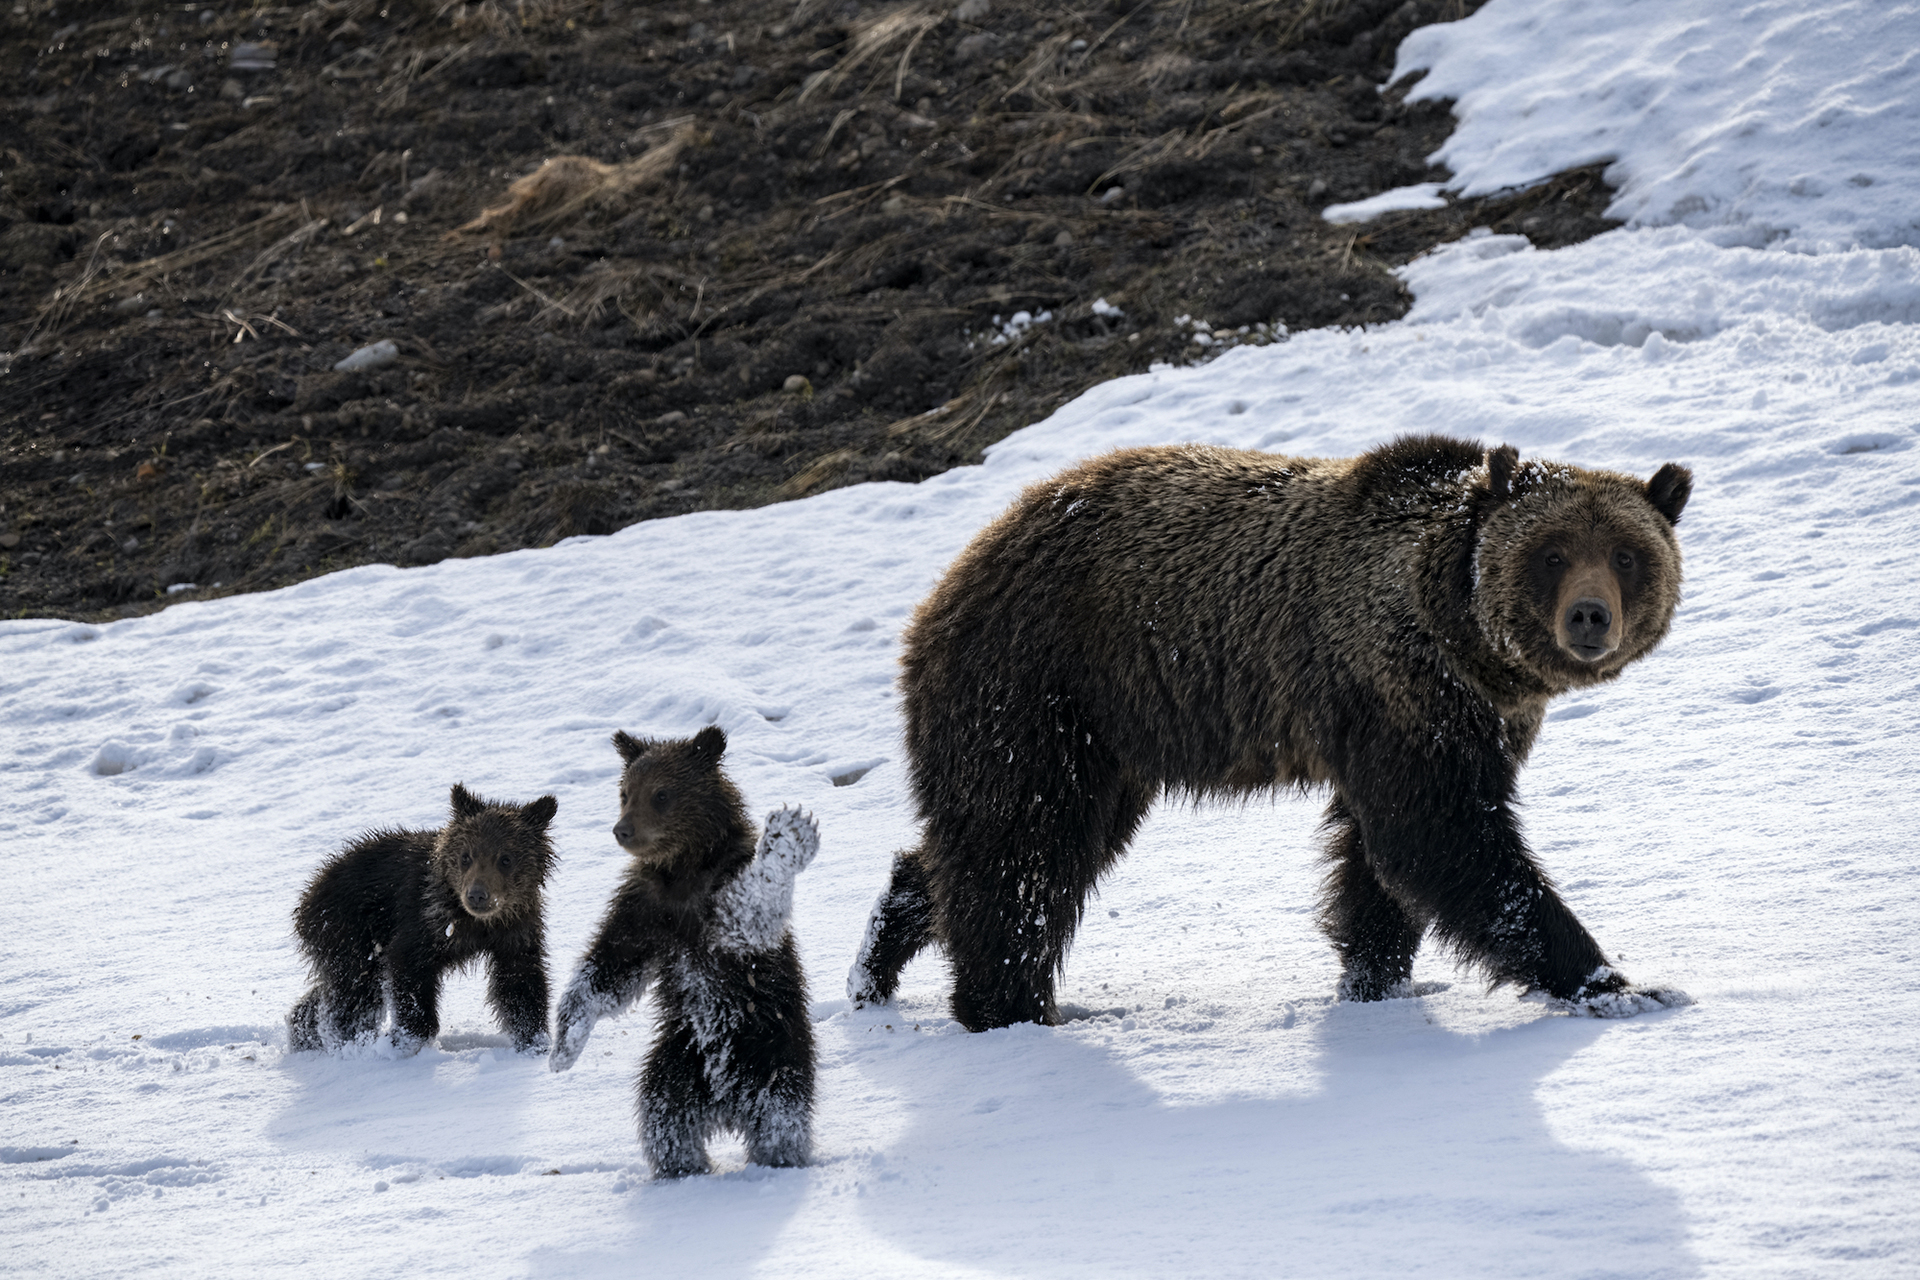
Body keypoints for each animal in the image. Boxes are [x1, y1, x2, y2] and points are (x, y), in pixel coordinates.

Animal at [284, 786, 560, 1059]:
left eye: (505, 858)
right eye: (466, 856)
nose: (477, 894)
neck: (475, 923)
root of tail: (310, 892)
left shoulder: (515, 931)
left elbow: (520, 983)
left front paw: (535, 1042)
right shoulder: (425, 921)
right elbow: (409, 969)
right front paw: (406, 1040)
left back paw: (304, 1032)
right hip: (348, 930)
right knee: (355, 992)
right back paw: (351, 1044)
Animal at [552, 729, 814, 1182]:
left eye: (661, 794)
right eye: (625, 792)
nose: (623, 830)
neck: (683, 871)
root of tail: (726, 1101)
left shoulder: (719, 899)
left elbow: (749, 917)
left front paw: (787, 840)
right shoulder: (646, 909)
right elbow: (611, 966)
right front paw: (564, 1043)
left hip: (774, 1049)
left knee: (781, 1114)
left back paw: (777, 1161)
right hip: (680, 1056)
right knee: (664, 1111)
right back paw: (681, 1168)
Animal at [856, 437, 1697, 1028]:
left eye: (1627, 554)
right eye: (1551, 553)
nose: (1588, 617)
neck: (1461, 635)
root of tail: (953, 576)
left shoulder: (1463, 719)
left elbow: (1378, 860)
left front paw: (1375, 980)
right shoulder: (1400, 688)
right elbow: (1448, 840)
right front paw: (1616, 982)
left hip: (1107, 740)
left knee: (1009, 846)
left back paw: (881, 954)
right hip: (1042, 686)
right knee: (1021, 849)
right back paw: (1010, 1009)